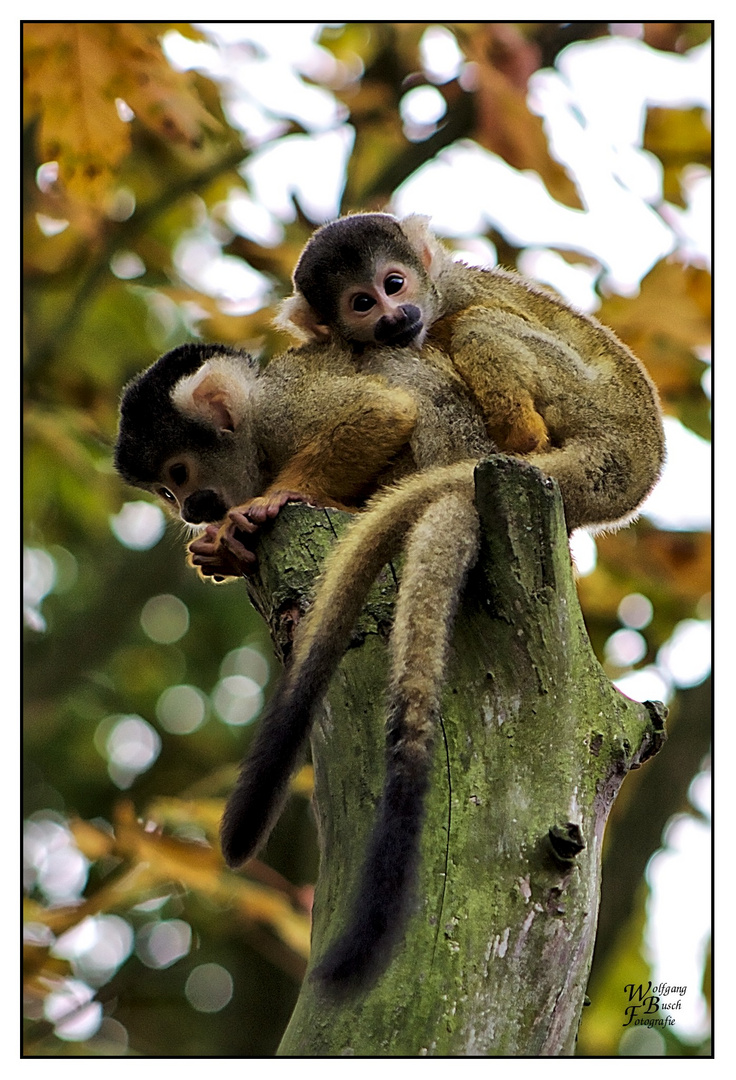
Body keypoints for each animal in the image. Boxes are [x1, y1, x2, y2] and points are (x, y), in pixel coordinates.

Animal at [276, 210, 665, 535]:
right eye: (362, 304)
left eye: (394, 284)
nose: (395, 318)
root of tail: (641, 460)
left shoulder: (459, 289)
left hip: (588, 394)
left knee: (475, 324)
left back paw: (521, 435)